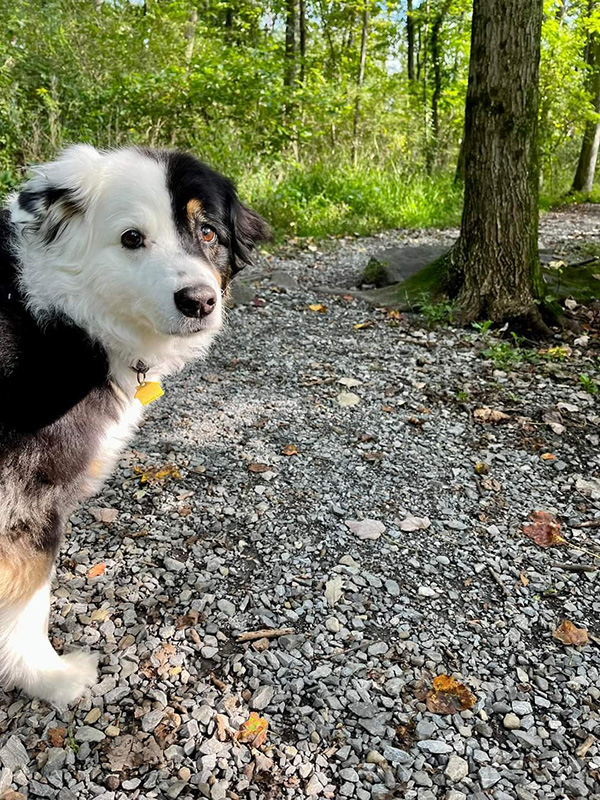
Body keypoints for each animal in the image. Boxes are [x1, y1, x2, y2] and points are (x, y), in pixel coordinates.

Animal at [0, 145, 268, 708]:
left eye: (207, 231)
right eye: (131, 238)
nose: (199, 301)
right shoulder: (26, 493)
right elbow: (29, 598)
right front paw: (48, 677)